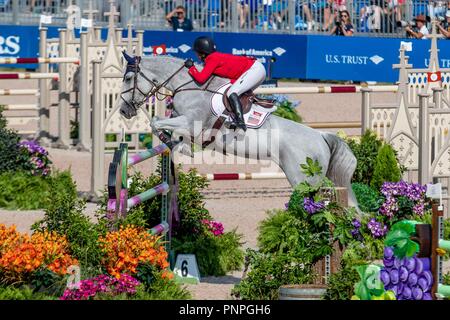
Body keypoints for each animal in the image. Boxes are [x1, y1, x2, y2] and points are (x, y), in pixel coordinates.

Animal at [117, 53, 358, 206]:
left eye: (128, 78)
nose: (123, 110)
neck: (189, 85)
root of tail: (321, 137)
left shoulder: (190, 122)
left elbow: (156, 122)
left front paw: (175, 144)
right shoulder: (180, 119)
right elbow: (163, 123)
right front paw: (179, 145)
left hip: (304, 180)